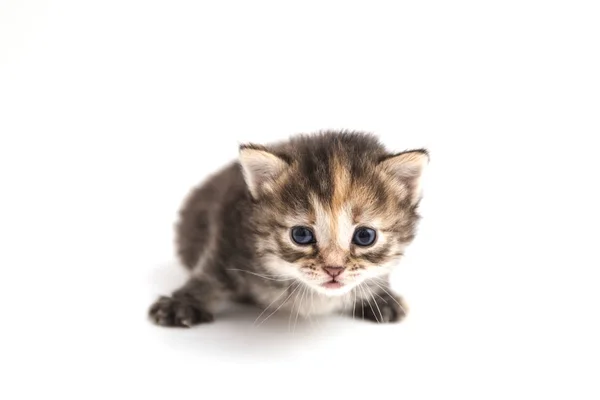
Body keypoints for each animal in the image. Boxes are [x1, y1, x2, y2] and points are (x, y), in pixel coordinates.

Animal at [151, 130, 432, 326]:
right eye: (301, 235)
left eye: (365, 236)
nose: (334, 270)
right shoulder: (229, 226)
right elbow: (210, 273)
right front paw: (182, 303)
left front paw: (379, 298)